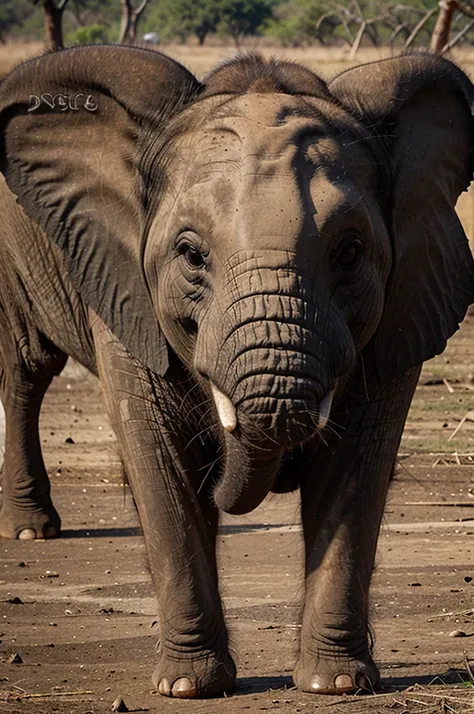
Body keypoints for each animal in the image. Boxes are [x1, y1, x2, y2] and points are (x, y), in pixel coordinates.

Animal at [0, 47, 474, 700]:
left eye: (350, 252)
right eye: (191, 255)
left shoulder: (403, 296)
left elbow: (356, 468)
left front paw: (336, 684)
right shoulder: (125, 286)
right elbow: (163, 467)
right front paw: (188, 688)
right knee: (29, 368)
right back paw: (31, 532)